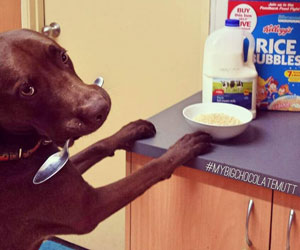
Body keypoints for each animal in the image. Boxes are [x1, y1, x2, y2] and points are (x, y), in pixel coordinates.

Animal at [0, 29, 211, 250]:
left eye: (63, 57)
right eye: (27, 90)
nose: (99, 107)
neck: (15, 151)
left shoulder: (65, 169)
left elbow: (98, 145)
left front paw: (132, 129)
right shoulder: (90, 207)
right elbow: (150, 169)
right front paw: (183, 147)